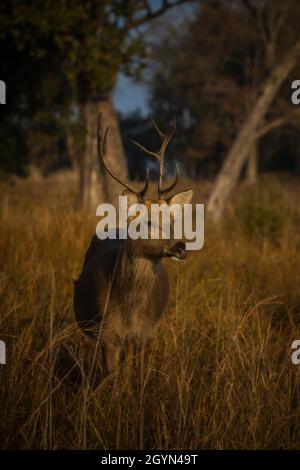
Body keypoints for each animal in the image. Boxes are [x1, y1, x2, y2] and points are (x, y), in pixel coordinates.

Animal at [74, 115, 193, 376]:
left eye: (172, 220)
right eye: (147, 222)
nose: (180, 247)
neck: (128, 311)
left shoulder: (145, 331)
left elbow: (136, 373)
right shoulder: (106, 331)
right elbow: (113, 375)